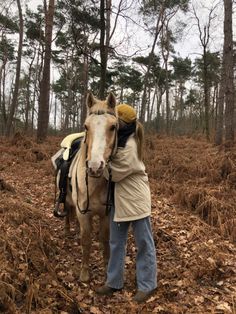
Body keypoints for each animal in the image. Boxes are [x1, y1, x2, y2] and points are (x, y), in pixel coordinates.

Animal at [65, 91, 117, 282]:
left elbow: (104, 239)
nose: (95, 166)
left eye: (113, 127)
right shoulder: (83, 213)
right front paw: (85, 273)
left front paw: (107, 267)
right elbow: (85, 241)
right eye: (86, 126)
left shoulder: (106, 214)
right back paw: (67, 232)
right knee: (67, 212)